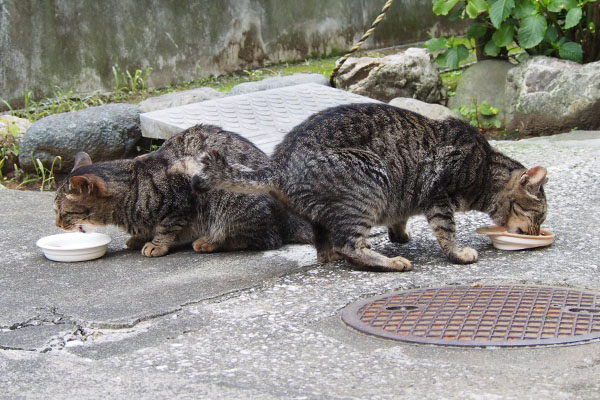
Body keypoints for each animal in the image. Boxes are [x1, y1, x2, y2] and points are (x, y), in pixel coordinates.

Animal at [54, 123, 312, 258]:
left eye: (62, 211)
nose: (56, 224)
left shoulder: (179, 202)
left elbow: (166, 227)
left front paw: (156, 244)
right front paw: (139, 237)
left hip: (231, 200)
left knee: (265, 239)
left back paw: (208, 242)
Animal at [193, 103, 548, 272]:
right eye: (541, 216)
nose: (537, 231)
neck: (486, 168)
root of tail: (279, 164)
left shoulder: (408, 195)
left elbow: (400, 216)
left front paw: (400, 234)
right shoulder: (439, 195)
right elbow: (447, 231)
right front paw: (459, 253)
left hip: (329, 209)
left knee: (325, 245)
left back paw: (332, 254)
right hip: (369, 181)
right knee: (351, 246)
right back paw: (390, 262)